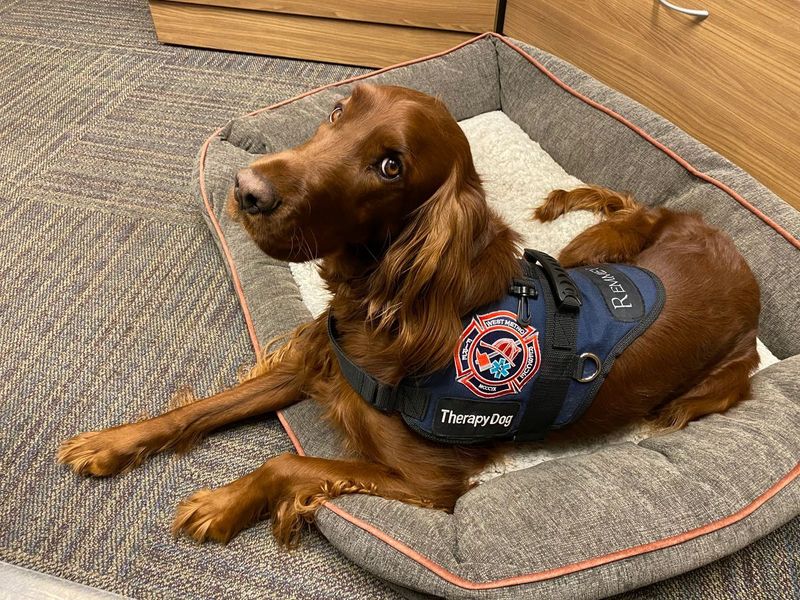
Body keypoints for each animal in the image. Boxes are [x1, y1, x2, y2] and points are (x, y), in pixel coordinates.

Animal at [59, 84, 760, 548]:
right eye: (338, 111)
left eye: (390, 165)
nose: (246, 189)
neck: (384, 304)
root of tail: (735, 257)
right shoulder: (318, 366)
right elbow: (199, 408)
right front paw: (109, 442)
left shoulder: (430, 486)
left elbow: (289, 464)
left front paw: (223, 503)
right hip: (591, 248)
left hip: (719, 380)